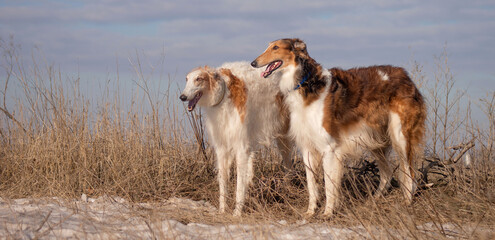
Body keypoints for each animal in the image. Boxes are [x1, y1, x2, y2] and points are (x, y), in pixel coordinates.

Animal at [180, 61, 292, 216]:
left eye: (199, 79)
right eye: (186, 79)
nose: (182, 97)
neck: (224, 94)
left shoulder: (241, 146)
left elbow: (239, 185)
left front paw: (237, 213)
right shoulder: (221, 146)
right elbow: (223, 182)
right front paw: (222, 210)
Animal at [252, 38, 426, 217]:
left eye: (275, 47)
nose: (253, 63)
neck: (305, 83)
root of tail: (406, 77)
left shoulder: (329, 148)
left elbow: (329, 186)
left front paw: (328, 213)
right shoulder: (307, 148)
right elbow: (311, 185)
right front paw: (310, 212)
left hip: (401, 137)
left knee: (409, 172)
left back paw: (407, 202)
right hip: (376, 140)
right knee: (387, 172)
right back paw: (374, 200)